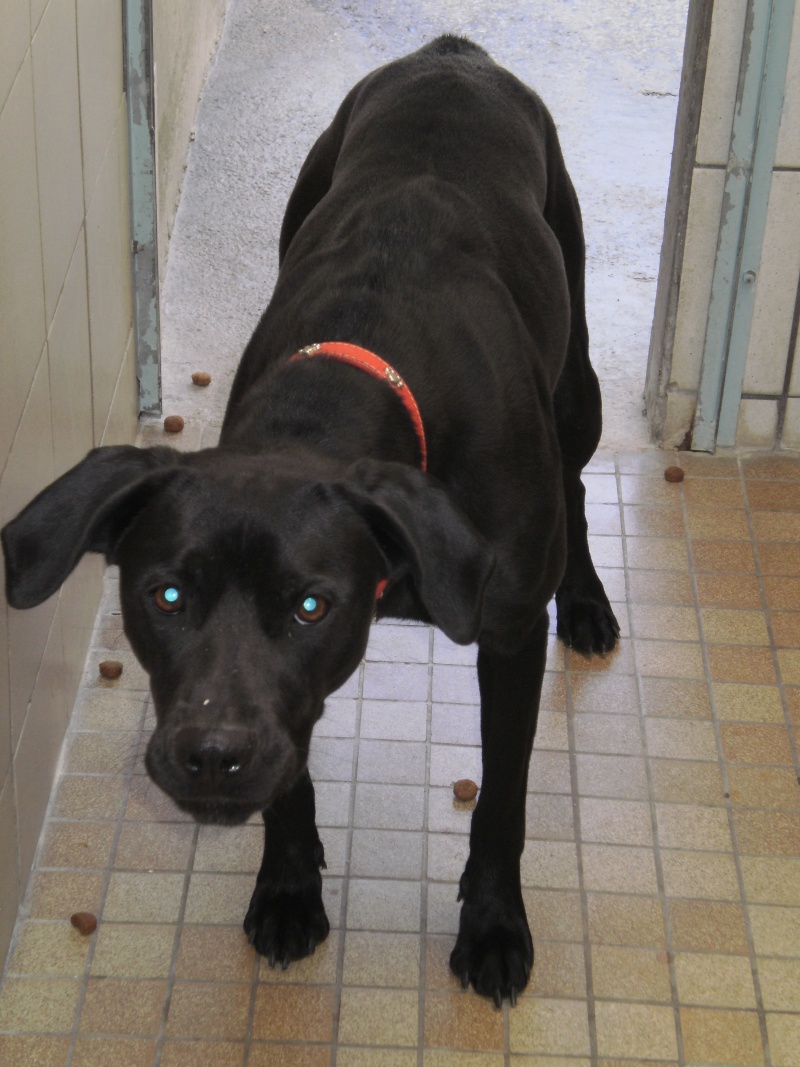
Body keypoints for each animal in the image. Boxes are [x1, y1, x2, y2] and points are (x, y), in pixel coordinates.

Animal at [3, 37, 618, 1002]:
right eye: (165, 596)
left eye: (309, 605)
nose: (211, 754)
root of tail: (453, 53)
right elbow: (289, 780)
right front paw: (289, 887)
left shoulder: (510, 632)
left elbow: (503, 802)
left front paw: (492, 926)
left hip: (575, 382)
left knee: (581, 481)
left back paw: (587, 601)